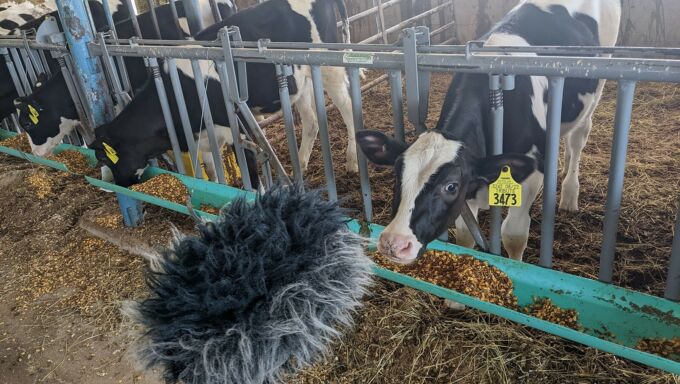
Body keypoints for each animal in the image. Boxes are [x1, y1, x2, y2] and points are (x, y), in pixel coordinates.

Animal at [90, 0, 362, 188]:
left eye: (104, 158)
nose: (119, 185)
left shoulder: (238, 129)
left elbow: (252, 177)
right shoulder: (205, 137)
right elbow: (213, 172)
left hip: (328, 66)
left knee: (348, 108)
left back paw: (352, 160)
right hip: (300, 81)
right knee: (312, 121)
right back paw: (300, 168)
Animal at [362, 0, 620, 262]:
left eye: (451, 186)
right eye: (397, 173)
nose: (394, 243)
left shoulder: (530, 176)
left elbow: (513, 234)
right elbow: (466, 233)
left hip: (597, 86)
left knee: (578, 139)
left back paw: (569, 194)